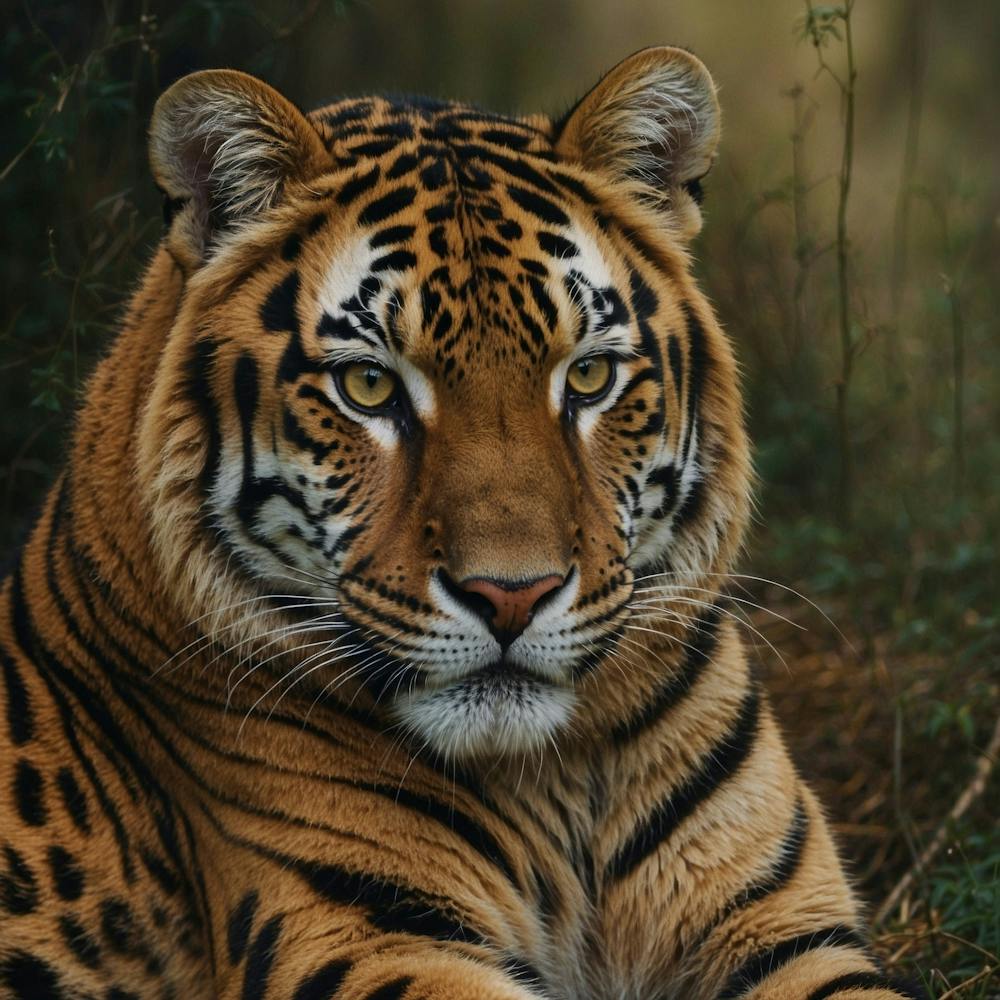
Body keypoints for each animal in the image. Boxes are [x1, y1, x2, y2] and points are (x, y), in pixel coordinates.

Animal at [0, 46, 922, 1000]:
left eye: (588, 376)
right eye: (368, 385)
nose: (511, 596)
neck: (552, 776)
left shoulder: (781, 927)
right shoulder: (374, 942)